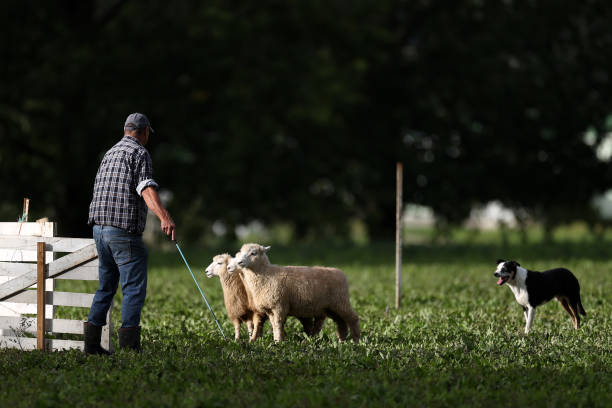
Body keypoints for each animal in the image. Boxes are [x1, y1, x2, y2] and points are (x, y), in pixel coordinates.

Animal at [232, 244, 360, 342]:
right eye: (241, 252)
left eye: (253, 253)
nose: (240, 262)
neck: (266, 274)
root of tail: (341, 273)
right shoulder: (270, 308)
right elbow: (274, 324)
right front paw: (276, 340)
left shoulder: (279, 305)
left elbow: (278, 324)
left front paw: (278, 342)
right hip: (330, 307)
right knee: (341, 322)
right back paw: (341, 341)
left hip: (341, 301)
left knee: (353, 318)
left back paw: (356, 341)